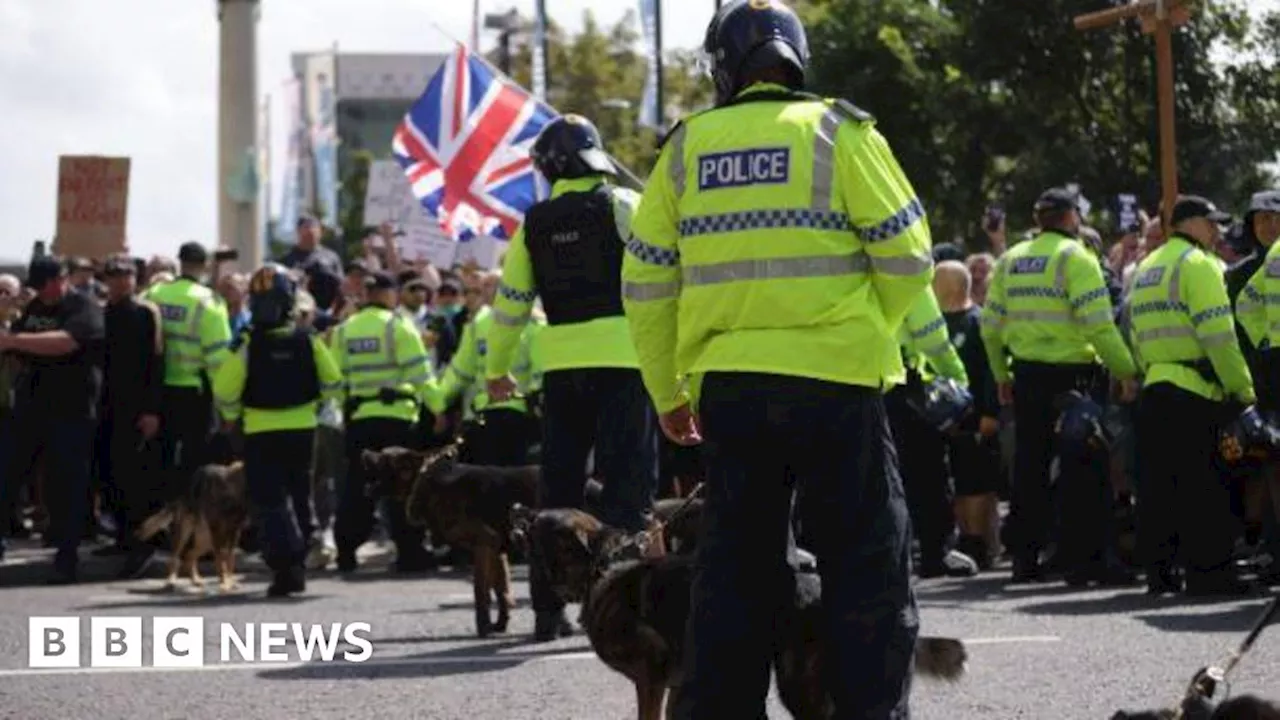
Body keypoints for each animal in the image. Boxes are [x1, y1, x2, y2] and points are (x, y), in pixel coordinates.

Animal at [138, 461, 252, 591]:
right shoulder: (217, 529)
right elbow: (220, 560)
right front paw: (224, 582)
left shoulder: (234, 532)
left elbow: (230, 560)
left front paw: (230, 582)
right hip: (185, 534)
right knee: (175, 557)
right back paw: (171, 581)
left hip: (206, 540)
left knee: (189, 556)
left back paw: (195, 580)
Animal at [363, 440, 537, 635]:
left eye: (384, 457)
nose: (363, 452)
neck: (424, 480)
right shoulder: (497, 551)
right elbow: (501, 590)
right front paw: (500, 624)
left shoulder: (484, 544)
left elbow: (480, 590)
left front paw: (483, 627)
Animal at [509, 504, 967, 717]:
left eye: (540, 521)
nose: (517, 509)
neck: (599, 569)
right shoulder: (677, 685)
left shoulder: (650, 679)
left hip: (797, 684)